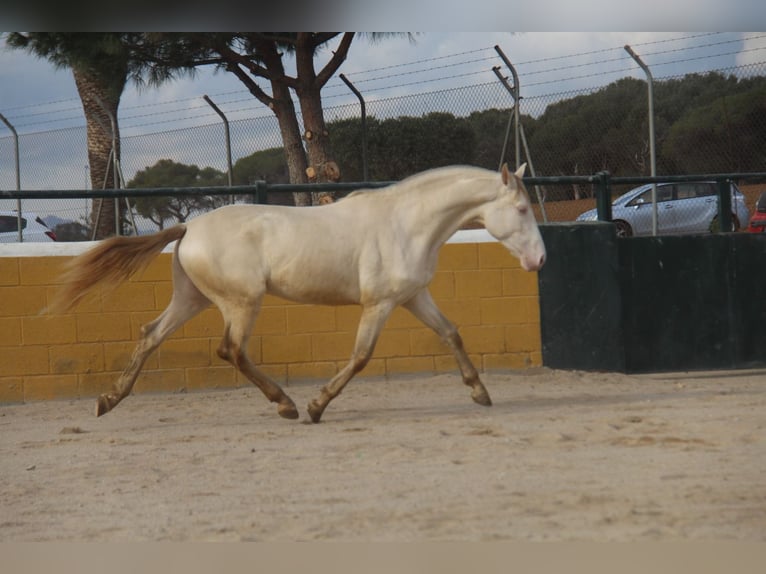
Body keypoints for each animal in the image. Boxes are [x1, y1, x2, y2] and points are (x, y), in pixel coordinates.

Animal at [49, 164, 544, 426]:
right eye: (521, 208)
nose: (539, 259)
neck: (406, 224)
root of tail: (189, 227)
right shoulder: (379, 304)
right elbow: (361, 357)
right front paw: (316, 405)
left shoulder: (412, 297)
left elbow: (452, 333)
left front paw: (480, 393)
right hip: (242, 302)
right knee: (231, 350)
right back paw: (285, 404)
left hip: (193, 299)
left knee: (151, 334)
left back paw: (109, 400)